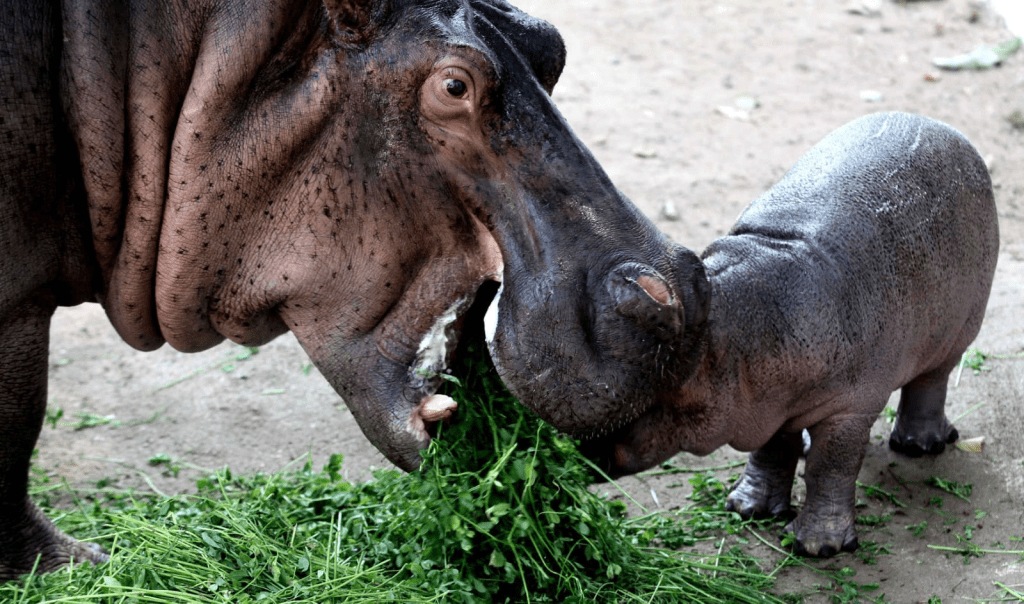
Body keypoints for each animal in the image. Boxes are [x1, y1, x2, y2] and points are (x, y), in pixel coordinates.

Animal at [0, 0, 708, 578]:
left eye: (551, 46)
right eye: (454, 86)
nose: (683, 292)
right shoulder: (16, 306)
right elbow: (17, 425)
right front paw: (72, 565)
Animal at [582, 112, 999, 557]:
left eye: (666, 381)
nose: (581, 448)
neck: (743, 325)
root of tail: (940, 125)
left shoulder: (849, 406)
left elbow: (830, 467)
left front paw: (818, 547)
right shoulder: (770, 397)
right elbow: (772, 451)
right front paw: (748, 509)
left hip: (956, 330)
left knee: (931, 381)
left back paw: (919, 445)